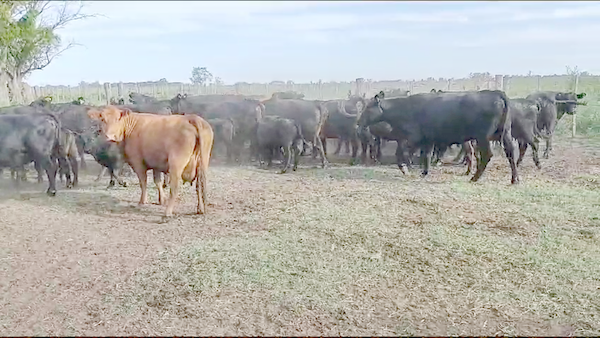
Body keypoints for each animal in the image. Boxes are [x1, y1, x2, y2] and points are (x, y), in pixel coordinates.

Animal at [358, 90, 516, 184]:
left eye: (368, 108)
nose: (359, 122)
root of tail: (494, 93)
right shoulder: (426, 139)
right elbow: (426, 156)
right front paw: (424, 172)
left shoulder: (411, 138)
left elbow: (401, 154)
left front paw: (405, 169)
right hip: (505, 134)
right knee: (510, 153)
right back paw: (515, 179)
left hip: (482, 137)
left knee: (487, 155)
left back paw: (474, 177)